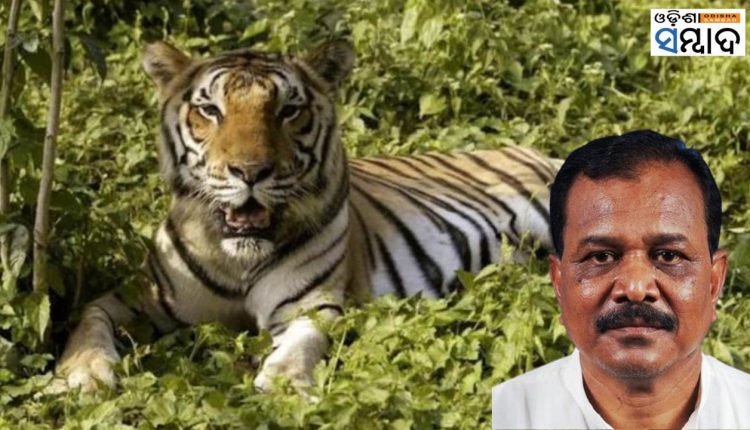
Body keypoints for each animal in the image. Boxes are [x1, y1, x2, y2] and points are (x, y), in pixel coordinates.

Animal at [47, 40, 559, 393]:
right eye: (210, 110)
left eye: (289, 110)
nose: (250, 171)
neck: (235, 258)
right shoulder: (139, 296)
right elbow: (87, 321)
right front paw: (81, 376)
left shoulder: (312, 304)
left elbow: (300, 346)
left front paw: (283, 389)